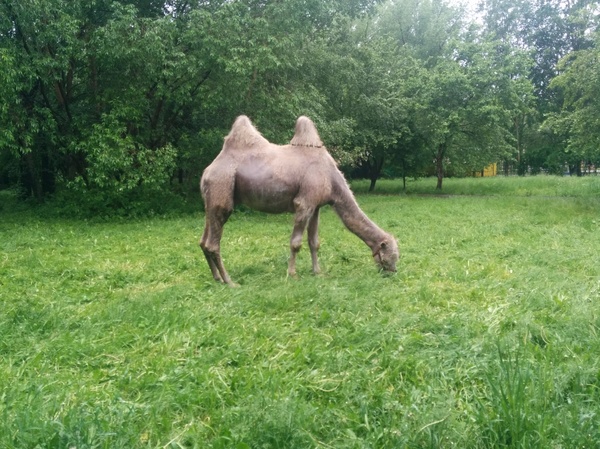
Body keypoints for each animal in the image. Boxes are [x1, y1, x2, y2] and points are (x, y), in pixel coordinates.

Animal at [199, 114, 400, 286]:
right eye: (391, 255)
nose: (392, 272)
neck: (332, 179)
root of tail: (208, 170)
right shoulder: (305, 202)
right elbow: (296, 243)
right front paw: (293, 274)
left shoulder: (317, 206)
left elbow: (314, 242)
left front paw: (318, 272)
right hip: (221, 186)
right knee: (213, 243)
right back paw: (230, 282)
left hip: (211, 200)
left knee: (203, 241)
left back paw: (217, 278)